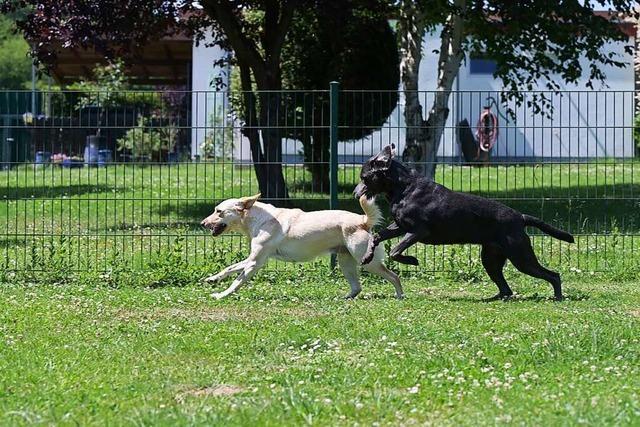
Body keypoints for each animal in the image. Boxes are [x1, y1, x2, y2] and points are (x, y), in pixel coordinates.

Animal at [201, 192, 400, 300]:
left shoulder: (254, 262)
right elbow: (229, 268)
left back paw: (400, 296)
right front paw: (212, 279)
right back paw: (343, 298)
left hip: (367, 261)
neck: (257, 219)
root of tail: (363, 220)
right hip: (346, 262)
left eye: (219, 211)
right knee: (357, 287)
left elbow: (236, 282)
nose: (203, 223)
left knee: (394, 276)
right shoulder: (254, 259)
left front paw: (221, 295)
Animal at [356, 146, 576, 300]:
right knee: (506, 289)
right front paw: (367, 257)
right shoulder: (400, 226)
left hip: (521, 257)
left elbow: (395, 251)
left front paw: (413, 261)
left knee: (553, 275)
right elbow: (377, 236)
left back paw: (557, 298)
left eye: (365, 177)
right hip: (491, 259)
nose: (355, 193)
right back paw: (493, 298)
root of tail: (520, 217)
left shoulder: (418, 231)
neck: (404, 188)